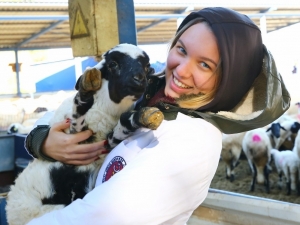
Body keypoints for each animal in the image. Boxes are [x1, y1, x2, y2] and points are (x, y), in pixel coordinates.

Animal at [5, 43, 164, 224]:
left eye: (146, 66)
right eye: (113, 64)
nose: (139, 79)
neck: (105, 112)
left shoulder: (106, 142)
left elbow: (123, 126)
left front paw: (146, 116)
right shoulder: (73, 134)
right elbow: (78, 113)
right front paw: (85, 92)